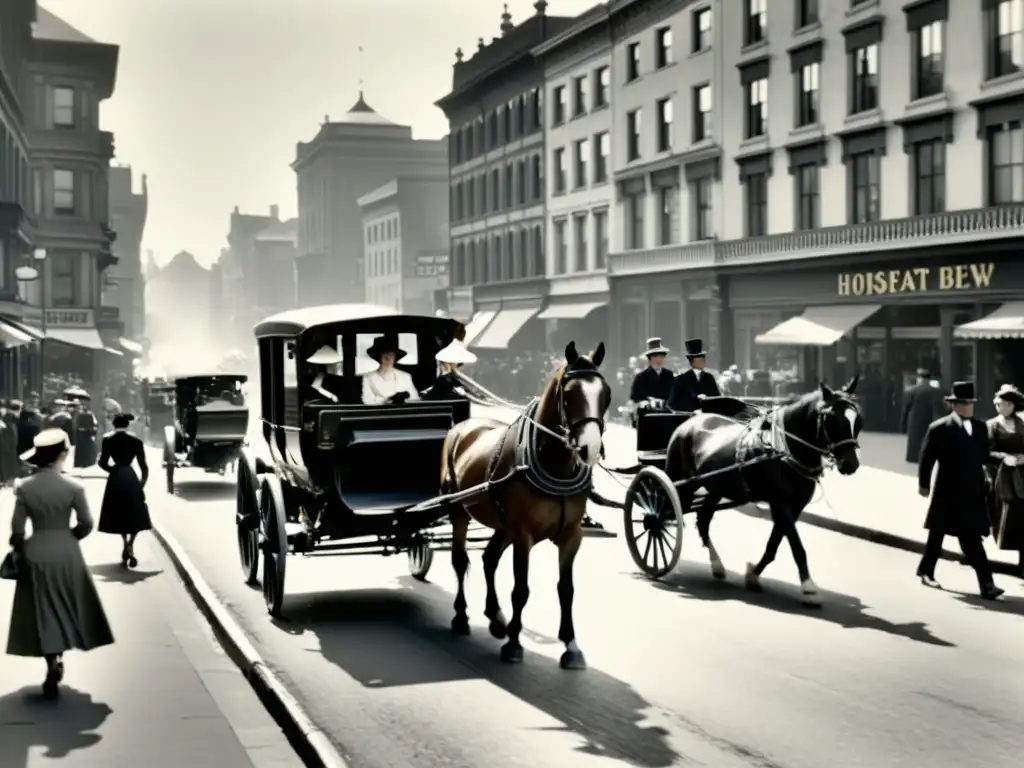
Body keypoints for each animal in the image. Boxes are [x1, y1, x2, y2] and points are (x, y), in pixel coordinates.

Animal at [440, 342, 606, 667]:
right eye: (570, 394)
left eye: (605, 394)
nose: (589, 449)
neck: (554, 464)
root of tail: (462, 426)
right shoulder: (523, 534)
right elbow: (521, 590)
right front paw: (514, 644)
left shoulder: (572, 534)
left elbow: (566, 589)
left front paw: (571, 645)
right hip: (459, 511)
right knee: (460, 560)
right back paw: (461, 616)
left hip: (503, 525)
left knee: (489, 559)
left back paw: (495, 617)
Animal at [663, 378, 864, 606]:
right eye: (831, 419)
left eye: (858, 420)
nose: (850, 464)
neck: (785, 449)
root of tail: (690, 421)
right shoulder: (781, 503)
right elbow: (797, 546)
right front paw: (809, 588)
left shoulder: (794, 506)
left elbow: (774, 543)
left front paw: (753, 574)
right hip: (681, 482)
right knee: (665, 513)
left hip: (715, 487)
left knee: (703, 522)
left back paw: (716, 564)